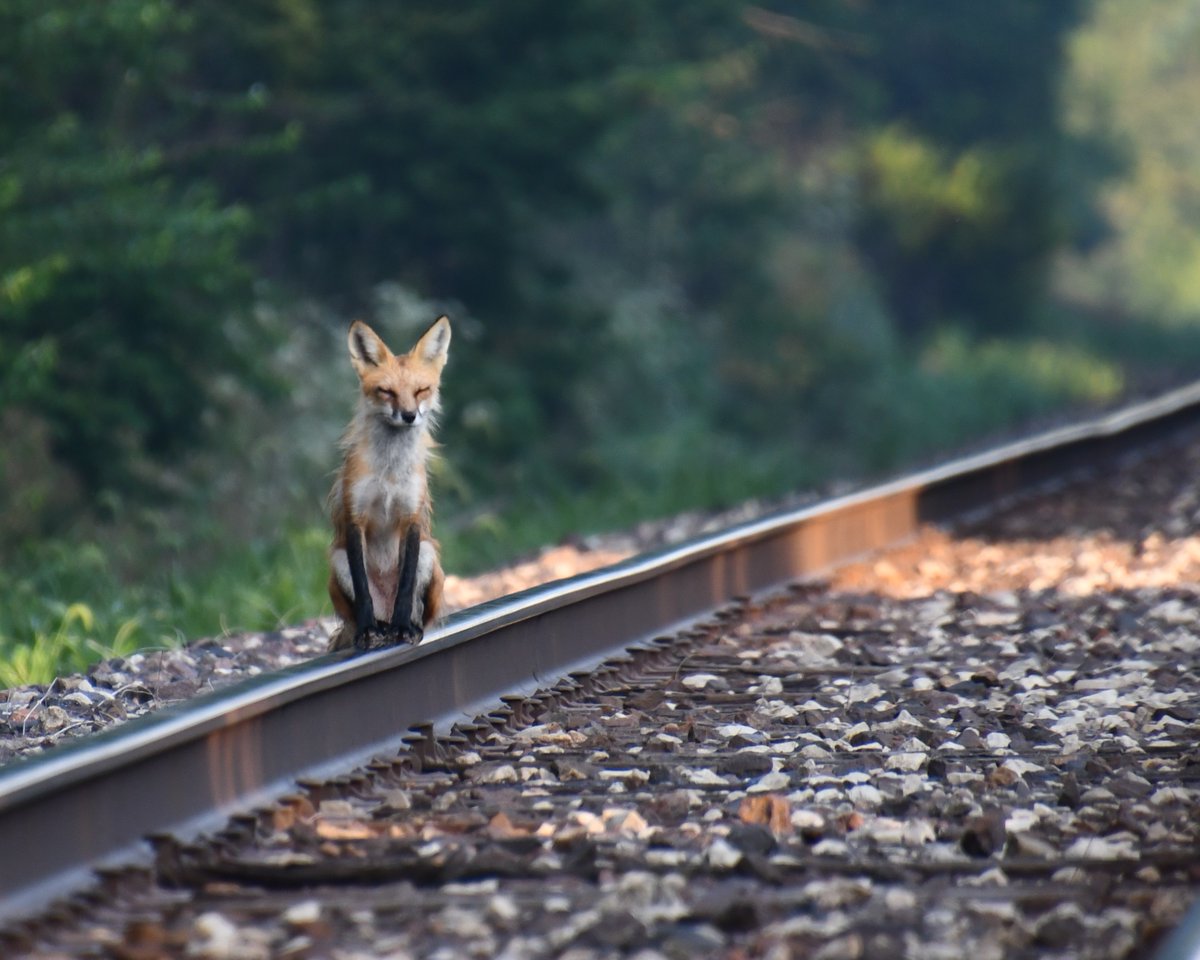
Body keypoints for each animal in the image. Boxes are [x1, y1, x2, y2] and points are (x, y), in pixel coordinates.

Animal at [327, 316, 451, 651]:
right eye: (386, 391)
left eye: (421, 390)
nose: (408, 416)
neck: (389, 473)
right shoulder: (355, 516)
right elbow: (362, 589)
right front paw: (368, 630)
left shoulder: (411, 517)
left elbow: (406, 586)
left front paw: (403, 628)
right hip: (337, 560)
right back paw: (378, 626)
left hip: (429, 555)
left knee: (419, 611)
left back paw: (408, 625)